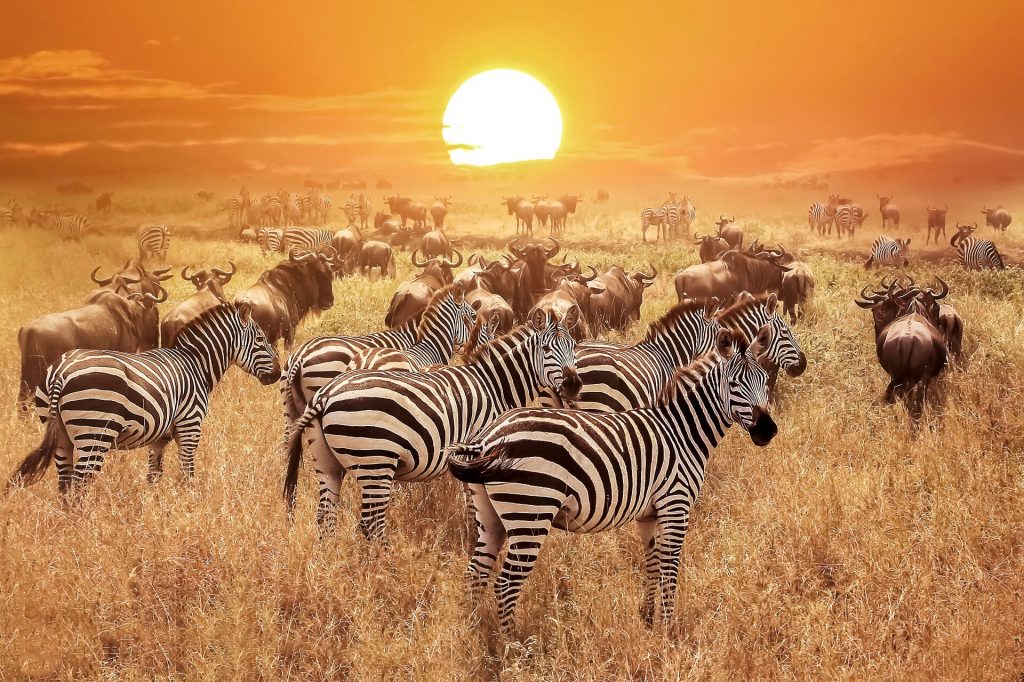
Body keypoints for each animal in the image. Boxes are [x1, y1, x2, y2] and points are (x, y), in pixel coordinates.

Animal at [9, 303, 280, 493]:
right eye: (260, 339)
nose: (278, 374)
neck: (195, 364)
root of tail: (61, 373)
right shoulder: (190, 427)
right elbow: (187, 473)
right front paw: (189, 507)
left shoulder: (159, 439)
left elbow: (154, 476)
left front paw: (155, 510)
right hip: (94, 433)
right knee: (78, 485)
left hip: (61, 435)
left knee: (65, 484)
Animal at [282, 307, 585, 536]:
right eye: (545, 348)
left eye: (573, 347)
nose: (573, 385)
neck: (493, 385)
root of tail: (326, 394)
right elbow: (473, 505)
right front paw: (473, 535)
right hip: (375, 460)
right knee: (370, 524)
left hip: (327, 461)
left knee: (325, 514)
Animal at [448, 321, 774, 630]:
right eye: (734, 384)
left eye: (764, 380)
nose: (768, 431)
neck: (682, 431)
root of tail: (487, 438)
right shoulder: (675, 505)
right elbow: (670, 570)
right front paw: (669, 630)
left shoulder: (649, 514)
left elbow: (652, 564)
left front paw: (648, 619)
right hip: (530, 512)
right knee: (505, 584)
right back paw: (512, 645)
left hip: (490, 516)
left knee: (476, 573)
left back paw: (477, 633)